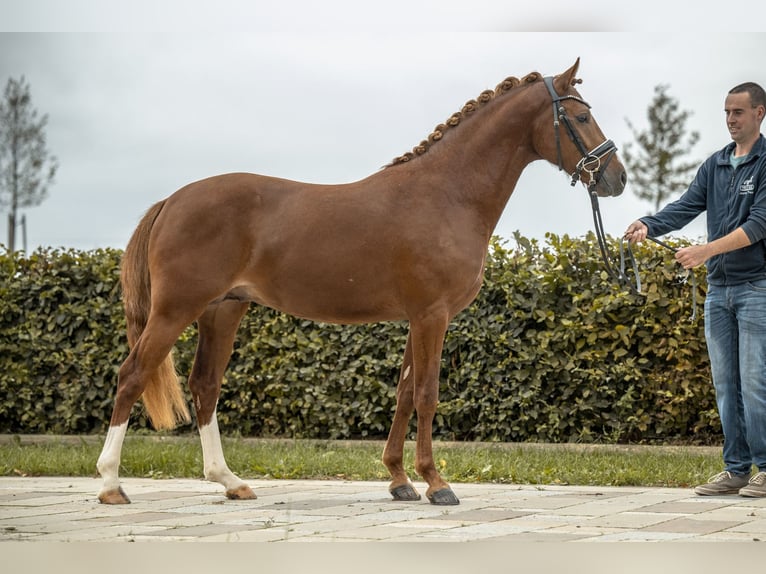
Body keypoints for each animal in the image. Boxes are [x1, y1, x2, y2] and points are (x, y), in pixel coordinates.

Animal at [96, 60, 628, 506]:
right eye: (581, 118)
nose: (616, 178)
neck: (447, 193)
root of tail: (171, 200)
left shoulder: (418, 318)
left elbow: (404, 393)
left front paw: (399, 480)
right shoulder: (432, 315)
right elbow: (427, 394)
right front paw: (437, 483)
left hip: (222, 310)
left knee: (205, 386)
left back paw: (230, 481)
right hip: (176, 309)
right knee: (132, 374)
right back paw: (111, 485)